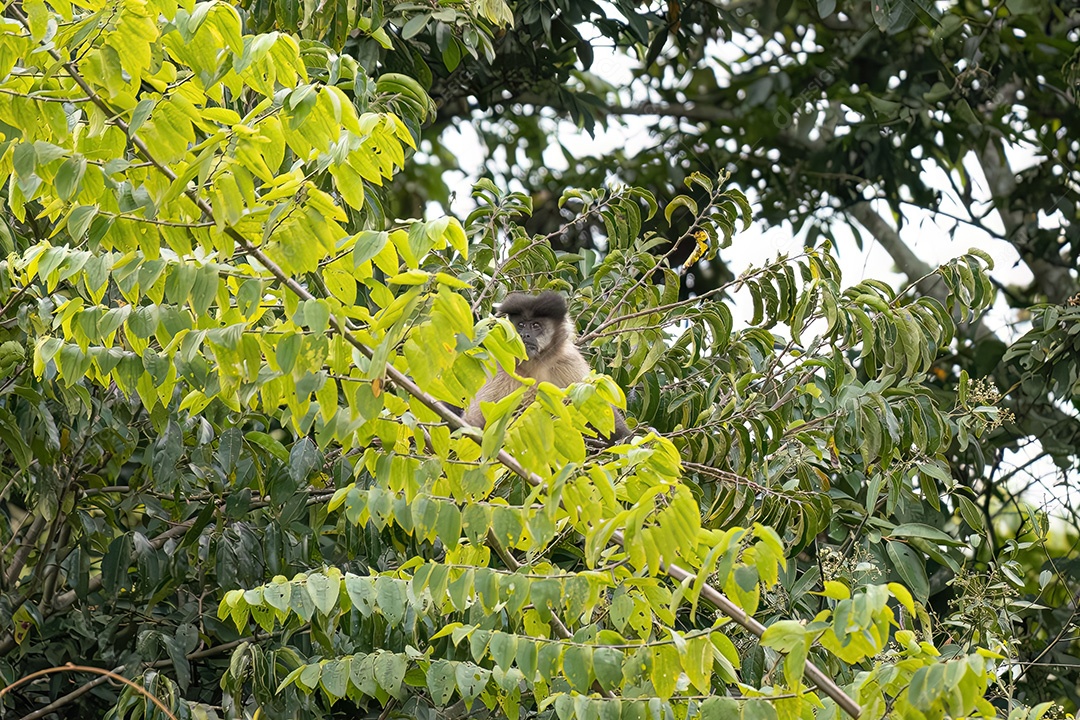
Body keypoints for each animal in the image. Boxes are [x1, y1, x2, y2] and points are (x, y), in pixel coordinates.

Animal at [463, 291, 630, 442]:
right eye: (521, 325)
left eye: (535, 325)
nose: (524, 335)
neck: (535, 363)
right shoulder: (501, 365)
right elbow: (475, 419)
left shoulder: (568, 361)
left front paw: (626, 439)